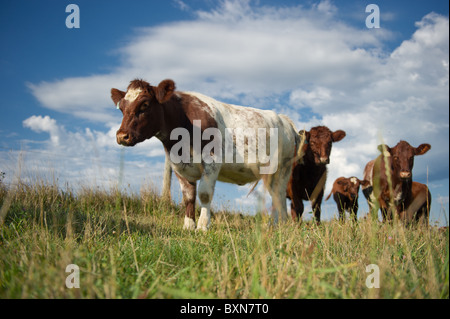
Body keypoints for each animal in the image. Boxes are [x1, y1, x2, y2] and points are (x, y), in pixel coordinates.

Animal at [111, 79, 300, 231]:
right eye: (121, 108)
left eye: (145, 105)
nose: (121, 136)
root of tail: (284, 119)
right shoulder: (179, 167)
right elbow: (188, 197)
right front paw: (188, 225)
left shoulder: (212, 161)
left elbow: (204, 193)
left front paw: (202, 226)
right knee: (276, 196)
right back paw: (275, 225)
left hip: (282, 169)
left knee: (279, 195)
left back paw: (280, 225)